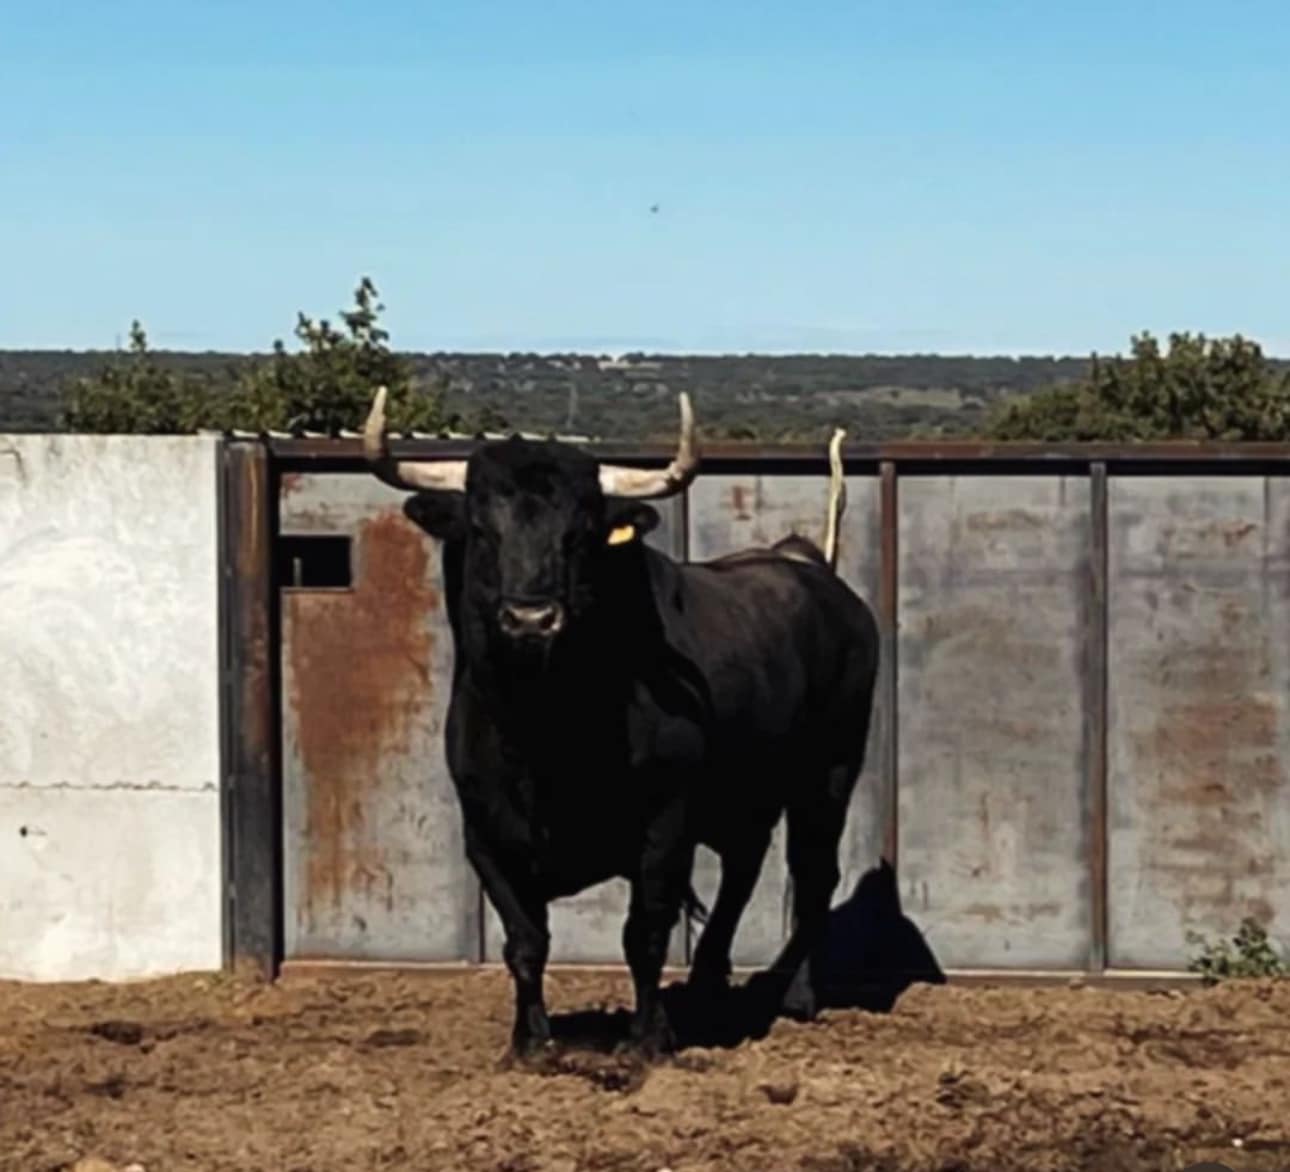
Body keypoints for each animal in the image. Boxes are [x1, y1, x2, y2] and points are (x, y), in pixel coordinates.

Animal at [361, 387, 879, 1057]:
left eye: (581, 532)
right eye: (480, 526)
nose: (531, 618)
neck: (541, 730)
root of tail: (816, 575)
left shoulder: (665, 826)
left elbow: (644, 934)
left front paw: (647, 1037)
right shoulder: (485, 833)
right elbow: (525, 942)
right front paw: (529, 1040)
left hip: (829, 775)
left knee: (813, 876)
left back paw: (794, 994)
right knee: (746, 866)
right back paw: (709, 982)